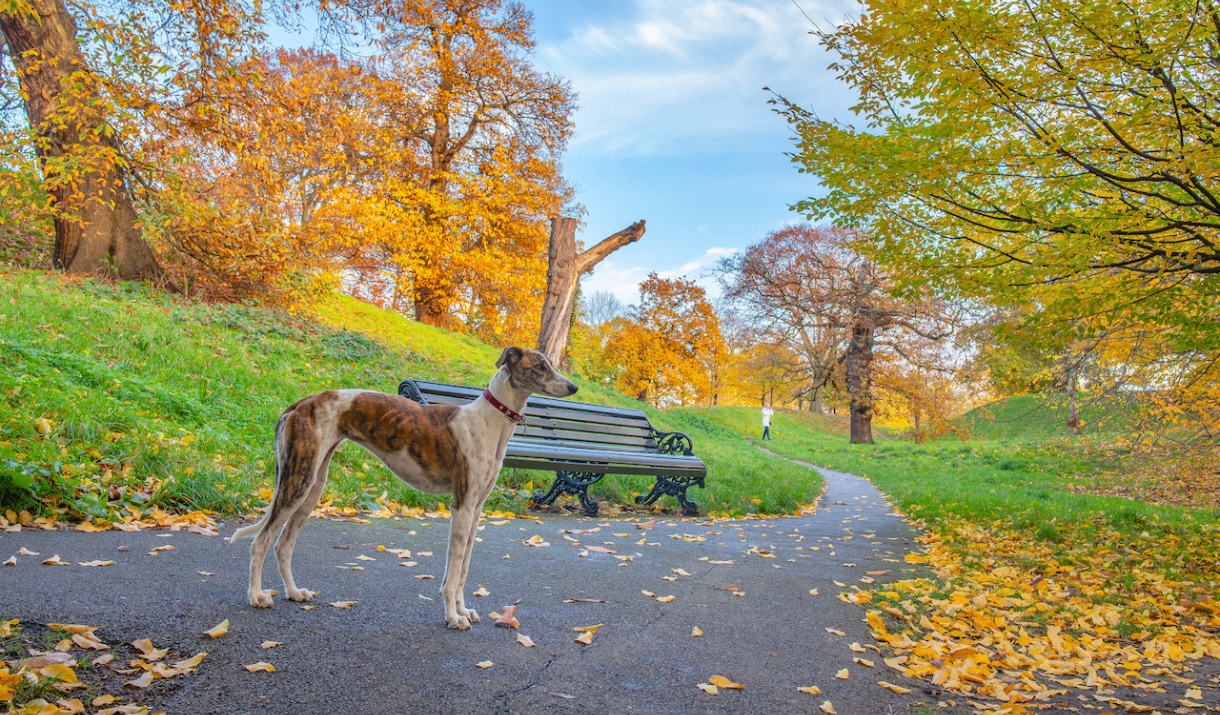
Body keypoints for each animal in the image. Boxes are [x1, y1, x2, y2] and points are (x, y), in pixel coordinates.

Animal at [231, 348, 575, 624]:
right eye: (540, 366)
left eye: (549, 364)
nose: (573, 387)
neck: (490, 421)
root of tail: (302, 403)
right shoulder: (461, 506)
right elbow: (453, 570)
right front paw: (453, 618)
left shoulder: (476, 509)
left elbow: (462, 569)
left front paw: (464, 611)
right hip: (297, 482)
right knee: (261, 541)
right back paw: (256, 596)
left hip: (312, 485)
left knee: (283, 544)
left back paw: (293, 592)